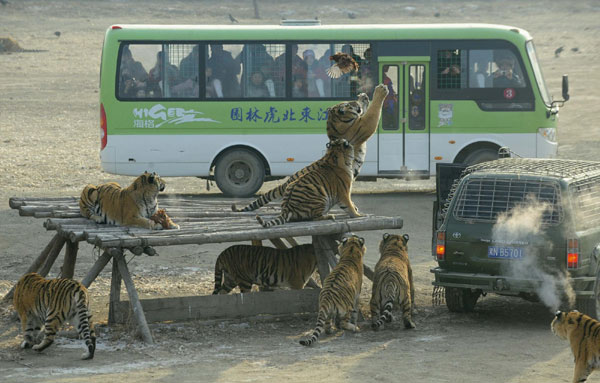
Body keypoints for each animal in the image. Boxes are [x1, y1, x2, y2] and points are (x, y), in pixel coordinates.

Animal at [231, 83, 390, 213]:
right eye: (348, 104)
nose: (356, 99)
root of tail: (287, 182)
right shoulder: (363, 125)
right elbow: (373, 111)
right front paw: (379, 91)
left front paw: (364, 97)